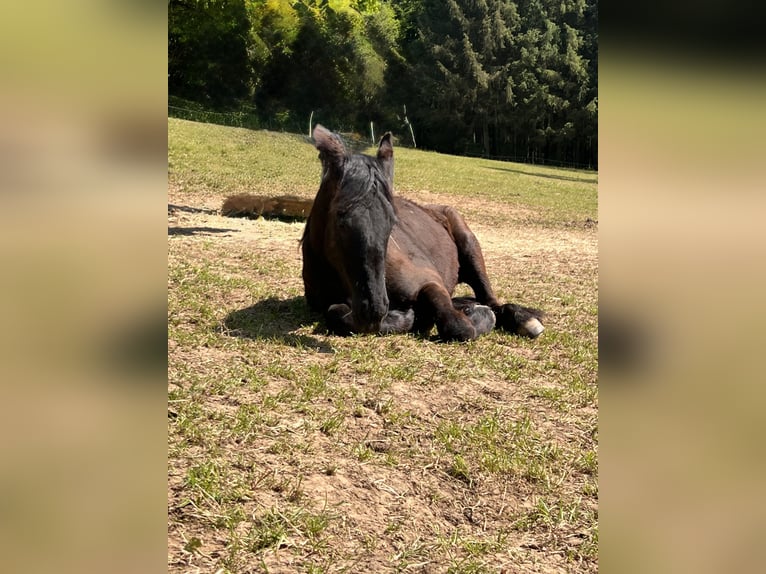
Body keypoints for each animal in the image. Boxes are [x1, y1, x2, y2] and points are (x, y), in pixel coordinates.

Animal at [301, 124, 545, 342]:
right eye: (340, 217)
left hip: (469, 246)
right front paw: (411, 317)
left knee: (491, 301)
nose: (373, 309)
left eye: (393, 221)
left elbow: (459, 326)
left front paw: (474, 316)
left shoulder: (429, 280)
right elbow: (337, 314)